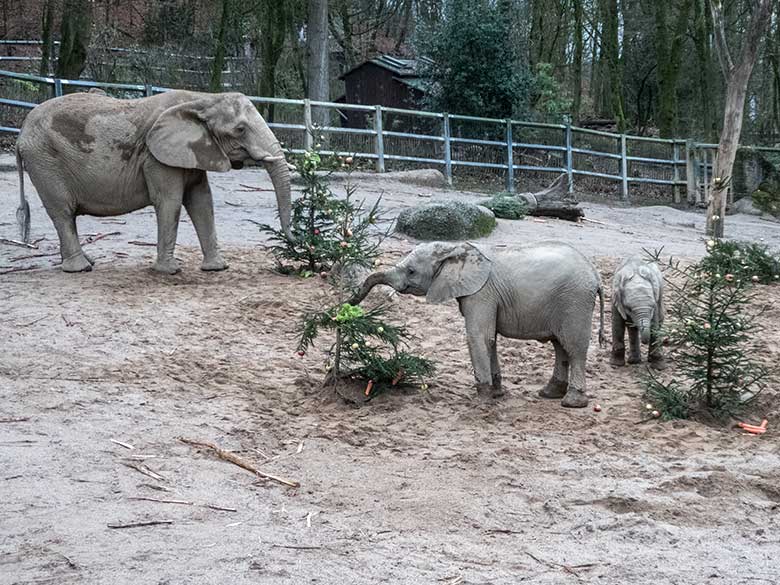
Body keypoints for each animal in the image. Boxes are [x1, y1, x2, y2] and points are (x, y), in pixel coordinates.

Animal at [15, 89, 292, 274]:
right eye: (240, 130)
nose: (291, 242)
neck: (202, 98)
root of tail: (20, 134)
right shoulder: (156, 158)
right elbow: (170, 202)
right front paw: (169, 271)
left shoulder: (193, 152)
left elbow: (202, 201)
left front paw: (217, 268)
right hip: (44, 160)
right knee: (62, 211)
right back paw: (81, 268)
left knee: (66, 215)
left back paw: (85, 262)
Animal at [350, 240, 608, 408]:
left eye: (411, 271)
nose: (350, 305)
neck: (455, 248)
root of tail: (595, 275)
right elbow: (489, 339)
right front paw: (497, 394)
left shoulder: (481, 293)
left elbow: (479, 337)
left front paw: (482, 401)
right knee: (559, 346)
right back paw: (548, 394)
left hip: (575, 301)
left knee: (574, 347)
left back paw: (572, 403)